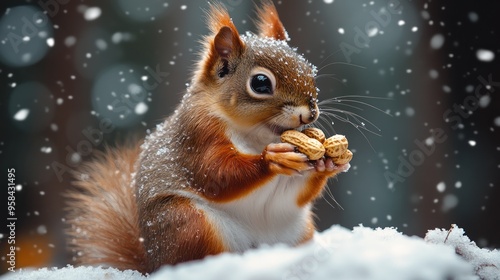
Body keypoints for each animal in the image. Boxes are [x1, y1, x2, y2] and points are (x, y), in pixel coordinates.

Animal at [65, 1, 348, 274]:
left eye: (309, 70)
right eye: (260, 83)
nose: (310, 113)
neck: (258, 135)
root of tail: (154, 263)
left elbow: (296, 192)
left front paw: (327, 163)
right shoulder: (198, 133)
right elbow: (214, 174)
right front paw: (271, 159)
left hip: (297, 233)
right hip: (190, 224)